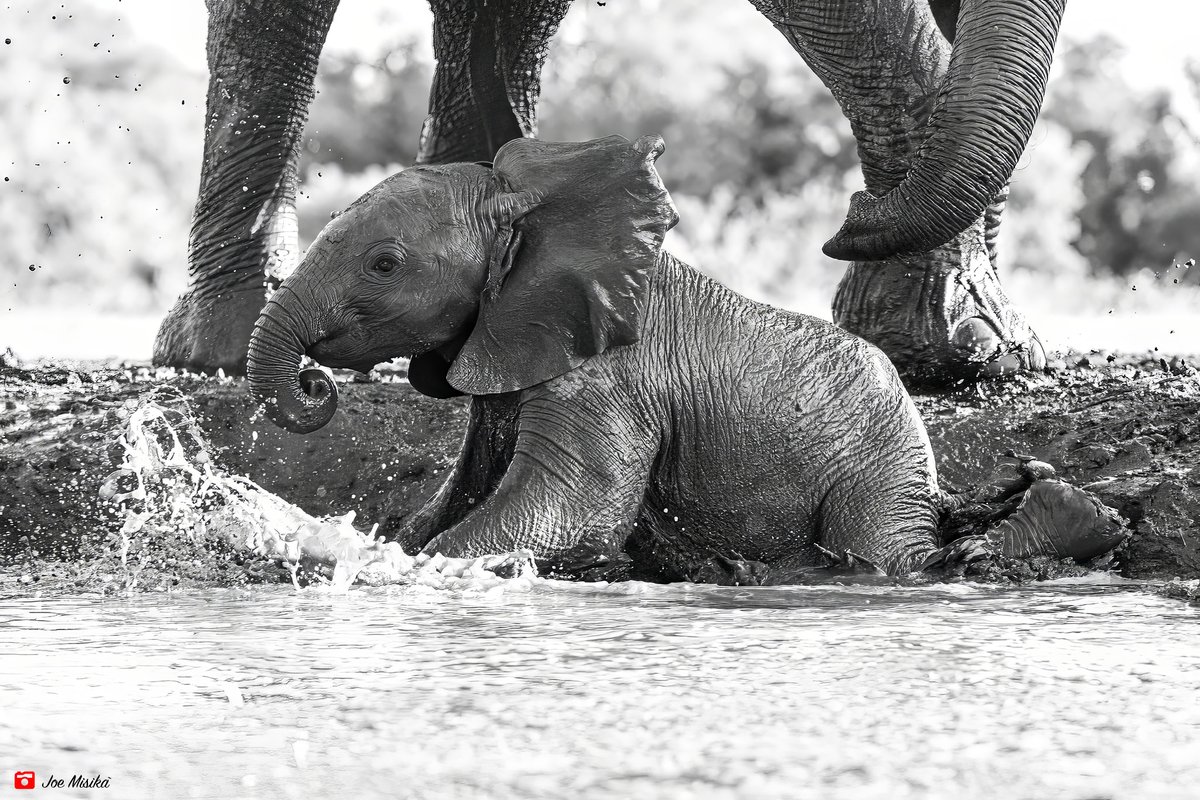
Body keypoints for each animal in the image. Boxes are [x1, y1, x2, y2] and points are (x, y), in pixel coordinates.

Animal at [246, 134, 1123, 585]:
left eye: (384, 264)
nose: (315, 383)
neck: (534, 208)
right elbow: (455, 500)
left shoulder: (607, 381)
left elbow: (565, 513)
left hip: (875, 461)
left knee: (892, 555)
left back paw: (1064, 515)